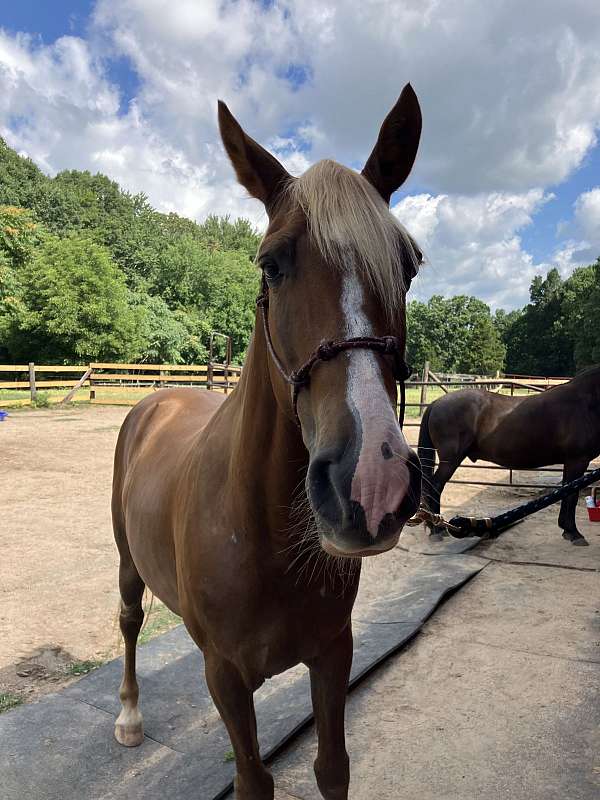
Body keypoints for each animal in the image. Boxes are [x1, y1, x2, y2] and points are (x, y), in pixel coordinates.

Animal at [110, 84, 424, 796]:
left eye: (409, 266)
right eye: (271, 265)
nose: (373, 481)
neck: (262, 531)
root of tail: (157, 398)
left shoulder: (334, 655)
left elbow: (332, 768)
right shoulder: (227, 677)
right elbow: (253, 779)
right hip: (125, 561)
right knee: (131, 620)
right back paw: (130, 718)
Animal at [418, 366, 600, 548]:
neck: (586, 403)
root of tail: (437, 402)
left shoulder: (571, 462)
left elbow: (567, 492)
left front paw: (567, 530)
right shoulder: (577, 460)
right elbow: (571, 496)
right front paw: (574, 533)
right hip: (450, 460)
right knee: (434, 486)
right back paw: (436, 530)